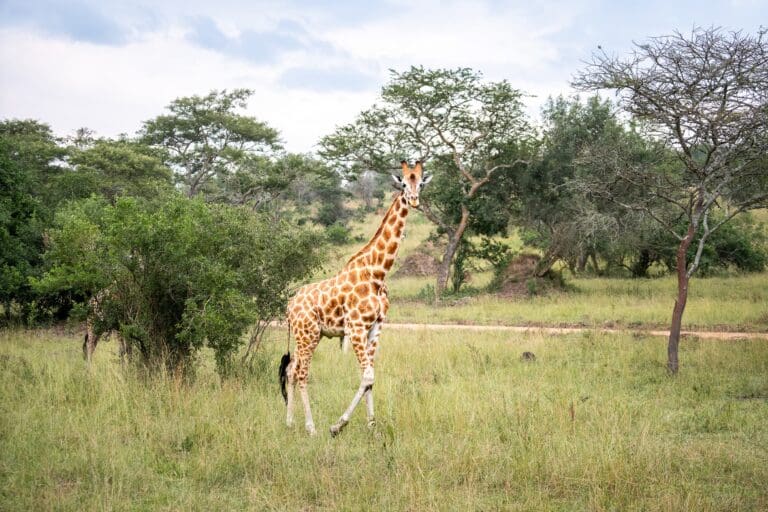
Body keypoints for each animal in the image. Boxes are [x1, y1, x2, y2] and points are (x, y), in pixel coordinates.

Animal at [280, 160, 432, 436]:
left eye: (421, 183)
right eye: (404, 184)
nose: (414, 200)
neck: (377, 273)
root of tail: (289, 306)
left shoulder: (376, 328)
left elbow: (369, 376)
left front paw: (372, 426)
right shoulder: (357, 327)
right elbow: (368, 375)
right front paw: (337, 425)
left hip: (307, 334)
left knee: (291, 369)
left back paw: (289, 422)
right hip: (307, 334)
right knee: (303, 372)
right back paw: (311, 427)